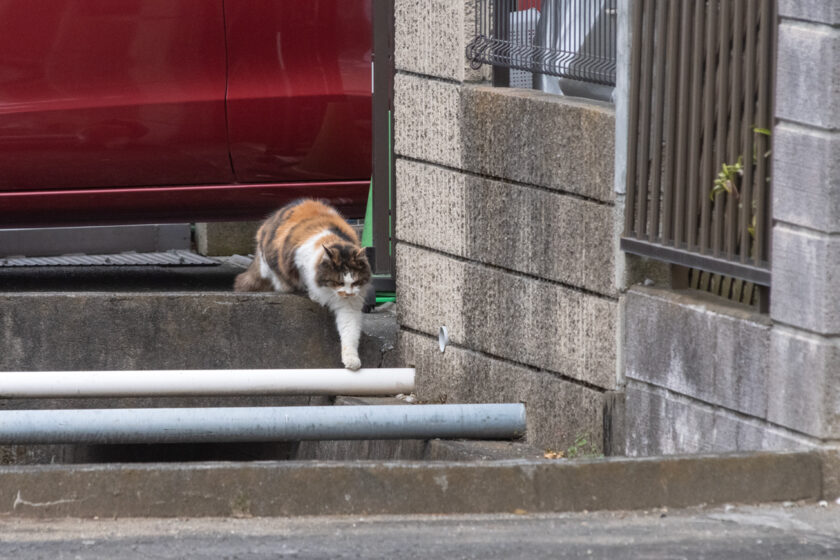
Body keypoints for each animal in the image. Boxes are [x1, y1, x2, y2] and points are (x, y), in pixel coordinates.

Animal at [235, 199, 370, 370]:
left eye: (356, 282)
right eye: (338, 282)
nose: (348, 294)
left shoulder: (349, 306)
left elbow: (349, 333)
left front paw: (351, 360)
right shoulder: (299, 259)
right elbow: (306, 278)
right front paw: (313, 294)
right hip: (268, 261)